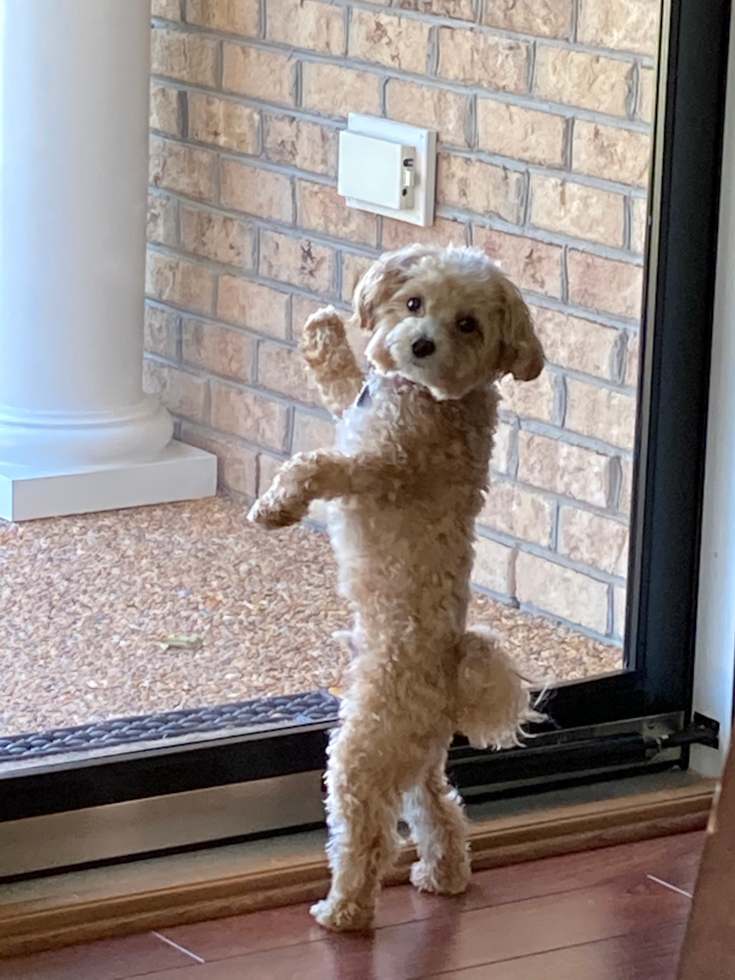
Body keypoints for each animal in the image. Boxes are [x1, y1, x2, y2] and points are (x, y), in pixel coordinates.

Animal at [250, 245, 544, 936]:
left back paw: (343, 912)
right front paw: (323, 335)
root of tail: (451, 681)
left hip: (363, 752)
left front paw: (276, 506)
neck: (424, 394)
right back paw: (444, 877)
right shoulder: (354, 414)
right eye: (414, 302)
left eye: (468, 324)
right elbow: (341, 380)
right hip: (414, 759)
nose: (420, 343)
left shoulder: (379, 466)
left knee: (368, 839)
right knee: (441, 810)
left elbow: (313, 465)